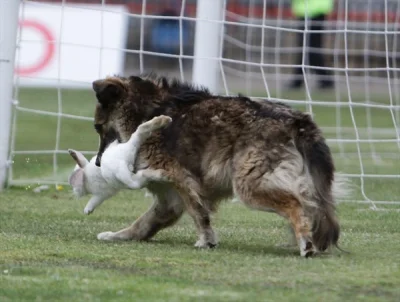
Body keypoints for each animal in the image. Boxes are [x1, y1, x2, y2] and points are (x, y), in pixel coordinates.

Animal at [89, 73, 346, 258]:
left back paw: (305, 242)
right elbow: (143, 223)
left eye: (98, 127)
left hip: (250, 185)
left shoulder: (180, 179)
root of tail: (299, 122)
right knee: (312, 207)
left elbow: (198, 213)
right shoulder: (170, 199)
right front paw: (117, 236)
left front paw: (206, 240)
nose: (99, 163)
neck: (147, 110)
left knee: (296, 204)